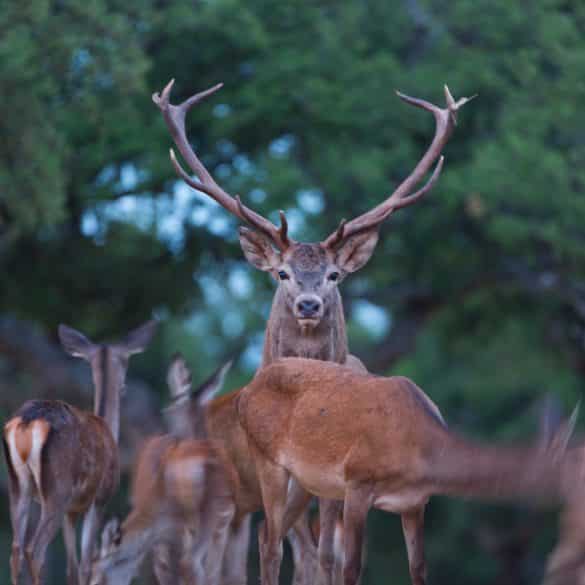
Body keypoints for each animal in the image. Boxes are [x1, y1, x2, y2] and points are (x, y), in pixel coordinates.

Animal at [2, 322, 157, 584]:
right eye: (126, 361)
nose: (124, 387)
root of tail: (28, 420)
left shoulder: (72, 509)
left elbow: (72, 568)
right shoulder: (100, 497)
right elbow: (85, 565)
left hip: (20, 486)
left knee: (15, 550)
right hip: (58, 489)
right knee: (34, 549)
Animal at [153, 81, 472, 584]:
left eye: (334, 275)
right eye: (281, 273)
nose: (308, 304)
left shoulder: (334, 485)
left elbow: (327, 557)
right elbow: (277, 550)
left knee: (308, 550)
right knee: (270, 545)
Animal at [237, 358, 576, 584]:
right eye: (562, 471)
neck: (420, 451)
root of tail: (245, 390)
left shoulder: (414, 503)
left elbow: (418, 567)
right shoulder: (358, 480)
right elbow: (353, 566)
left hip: (306, 481)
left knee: (267, 533)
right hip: (265, 457)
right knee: (272, 544)